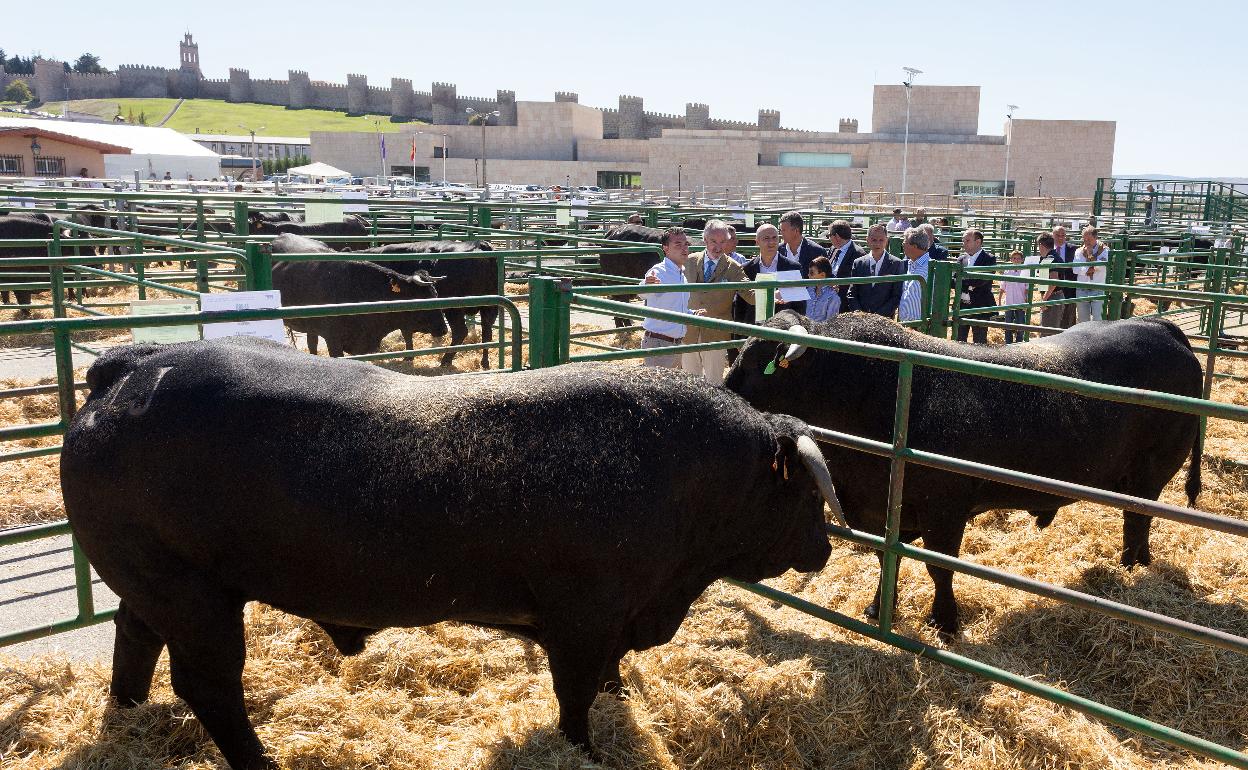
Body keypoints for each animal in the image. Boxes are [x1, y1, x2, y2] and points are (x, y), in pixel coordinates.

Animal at [60, 341, 838, 768]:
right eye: (806, 494)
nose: (827, 547)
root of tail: (133, 367)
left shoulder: (617, 618)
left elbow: (609, 680)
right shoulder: (582, 620)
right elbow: (575, 696)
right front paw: (584, 752)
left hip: (152, 584)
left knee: (133, 641)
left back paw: (126, 718)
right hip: (188, 593)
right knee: (208, 684)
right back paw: (263, 760)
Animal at [354, 243, 499, 369]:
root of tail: (480, 244)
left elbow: (406, 332)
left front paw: (408, 356)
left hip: (454, 309)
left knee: (460, 331)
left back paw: (446, 360)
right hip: (489, 306)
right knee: (487, 333)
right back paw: (484, 362)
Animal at [728, 309, 1203, 633]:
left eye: (755, 366)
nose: (724, 395)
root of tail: (1158, 326)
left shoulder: (945, 512)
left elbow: (939, 568)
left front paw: (945, 620)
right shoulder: (884, 513)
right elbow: (888, 559)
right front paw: (879, 608)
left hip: (1151, 472)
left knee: (1137, 520)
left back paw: (1131, 568)